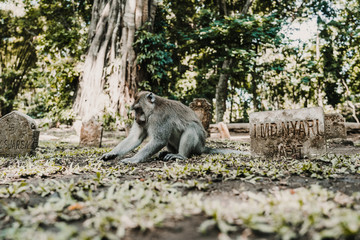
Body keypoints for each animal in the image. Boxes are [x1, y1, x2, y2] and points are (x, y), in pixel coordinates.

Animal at [101, 91, 248, 164]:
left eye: (138, 109)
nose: (136, 119)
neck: (152, 110)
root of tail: (203, 147)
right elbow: (135, 139)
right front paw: (111, 154)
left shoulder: (160, 118)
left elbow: (159, 140)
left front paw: (133, 159)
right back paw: (167, 152)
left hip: (198, 144)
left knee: (191, 128)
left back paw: (181, 156)